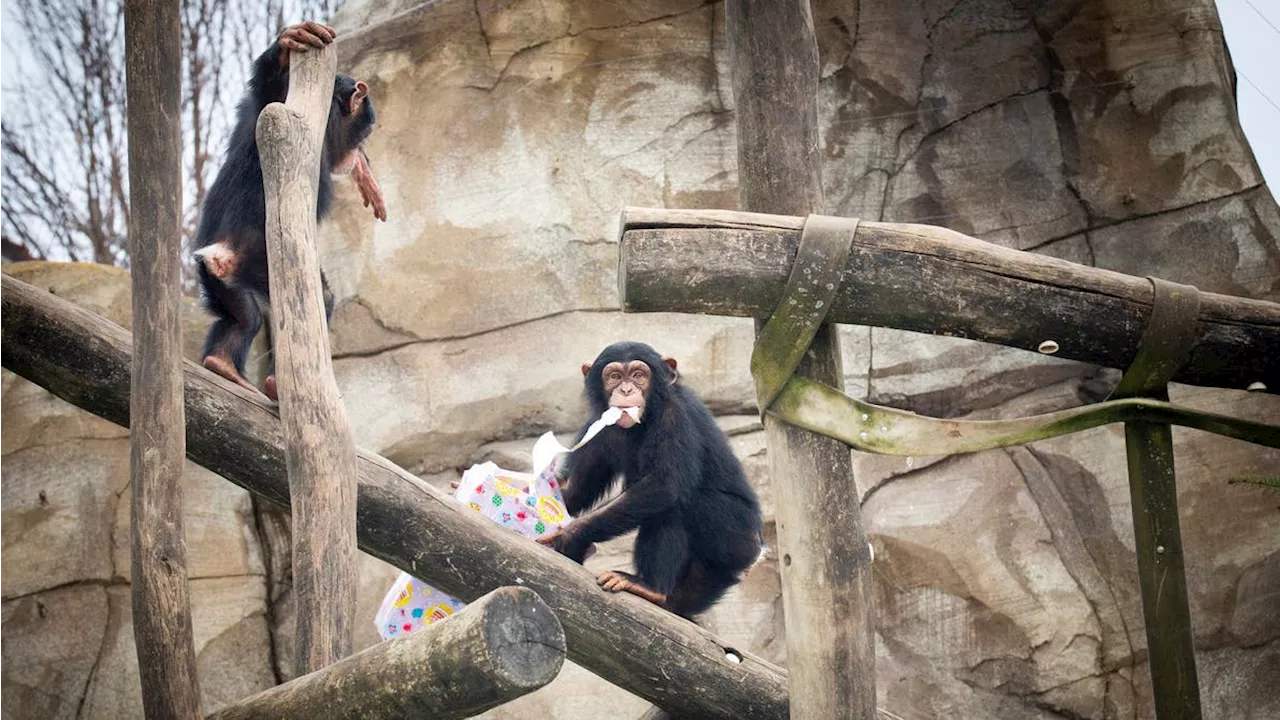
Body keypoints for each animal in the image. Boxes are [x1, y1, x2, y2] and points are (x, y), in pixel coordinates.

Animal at [192, 22, 384, 399]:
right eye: (364, 128)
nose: (358, 148)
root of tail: (221, 254)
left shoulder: (248, 110)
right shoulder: (283, 107)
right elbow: (271, 87)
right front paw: (290, 41)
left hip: (215, 278)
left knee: (243, 317)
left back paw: (222, 365)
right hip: (264, 264)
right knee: (318, 298)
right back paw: (275, 384)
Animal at [537, 338, 762, 614]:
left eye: (638, 375)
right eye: (614, 376)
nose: (625, 389)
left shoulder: (675, 416)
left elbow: (663, 485)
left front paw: (568, 536)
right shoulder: (596, 425)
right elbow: (573, 489)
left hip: (737, 538)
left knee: (676, 505)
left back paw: (649, 587)